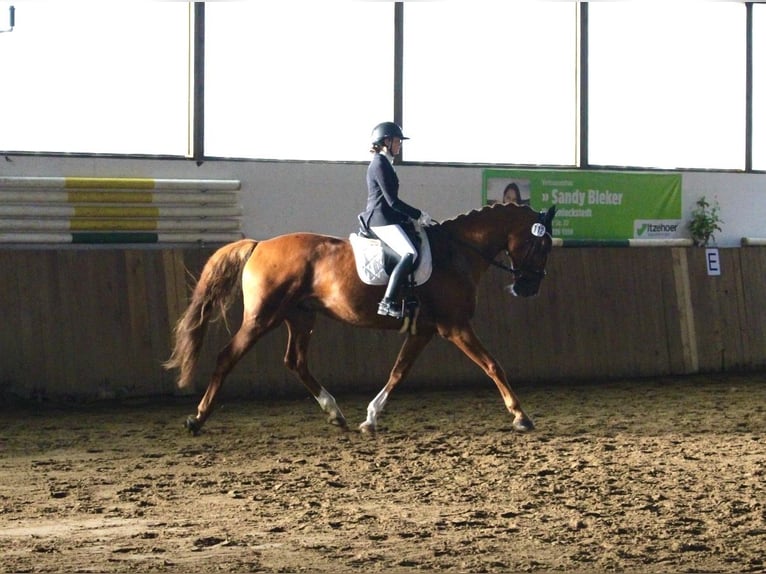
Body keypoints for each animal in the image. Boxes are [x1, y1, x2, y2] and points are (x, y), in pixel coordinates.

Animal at [164, 202, 557, 435]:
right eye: (542, 244)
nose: (528, 288)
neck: (456, 252)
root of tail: (260, 244)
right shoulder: (455, 327)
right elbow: (493, 366)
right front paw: (520, 416)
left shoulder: (425, 330)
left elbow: (398, 372)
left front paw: (370, 418)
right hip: (263, 317)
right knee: (227, 356)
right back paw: (197, 418)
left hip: (300, 317)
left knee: (296, 361)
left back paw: (334, 413)